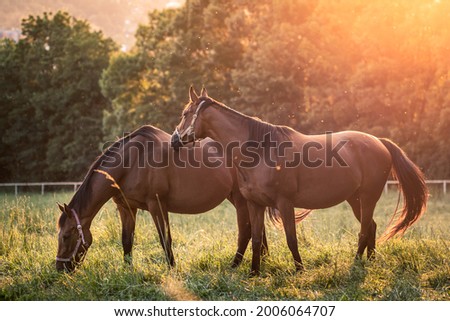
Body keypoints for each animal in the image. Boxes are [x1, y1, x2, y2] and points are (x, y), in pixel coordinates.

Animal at [56, 124, 268, 272]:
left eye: (66, 236)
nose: (60, 268)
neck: (132, 162)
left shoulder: (157, 205)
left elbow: (165, 239)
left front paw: (172, 269)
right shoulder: (126, 208)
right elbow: (126, 240)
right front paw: (127, 270)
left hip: (240, 200)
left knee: (246, 232)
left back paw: (235, 266)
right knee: (258, 229)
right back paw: (264, 260)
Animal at [171, 86, 428, 274]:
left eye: (185, 114)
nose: (174, 140)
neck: (261, 150)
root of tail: (379, 142)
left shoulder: (285, 204)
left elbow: (291, 238)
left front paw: (299, 269)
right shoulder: (255, 204)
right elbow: (256, 239)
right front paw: (254, 273)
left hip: (368, 198)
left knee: (364, 230)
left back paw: (356, 263)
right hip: (356, 200)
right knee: (371, 227)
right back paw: (370, 261)